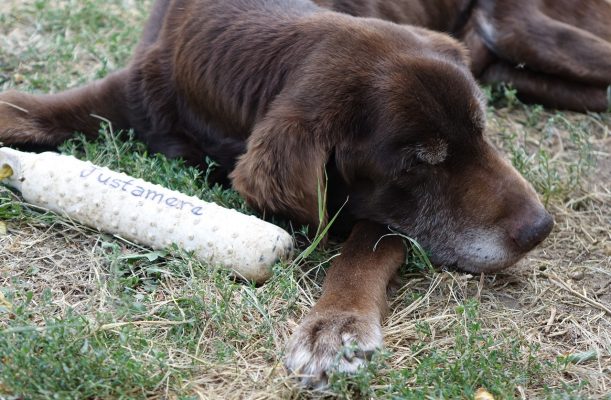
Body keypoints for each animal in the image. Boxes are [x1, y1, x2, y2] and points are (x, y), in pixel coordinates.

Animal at [1, 0, 608, 388]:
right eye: (419, 164)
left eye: (483, 132)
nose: (540, 229)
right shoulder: (136, 93)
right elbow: (18, 109)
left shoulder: (379, 213)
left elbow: (364, 250)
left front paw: (335, 327)